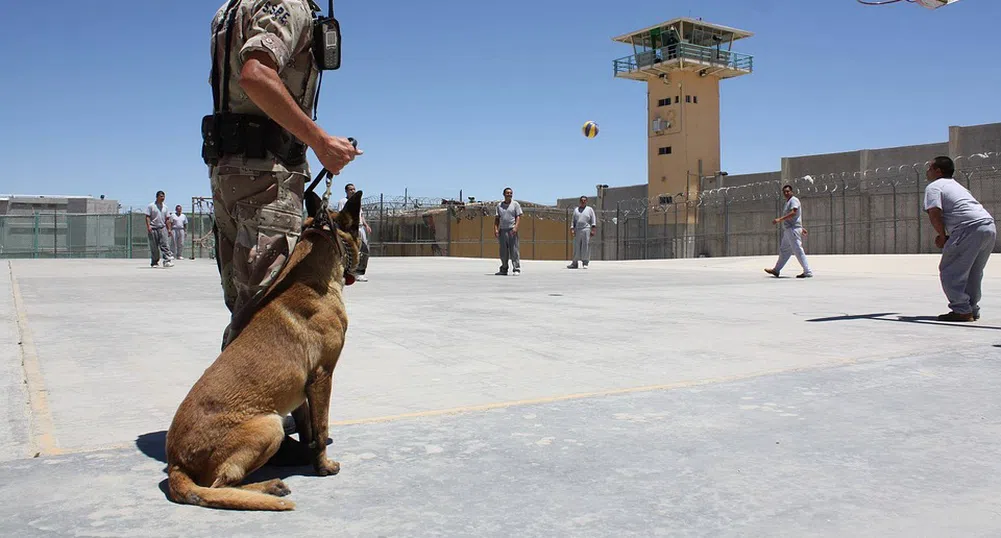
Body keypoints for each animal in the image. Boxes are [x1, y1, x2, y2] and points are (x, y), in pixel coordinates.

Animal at [166, 189, 366, 510]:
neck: (311, 277)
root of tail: (176, 464)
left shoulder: (304, 389)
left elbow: (308, 427)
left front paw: (309, 454)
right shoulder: (323, 377)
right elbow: (321, 429)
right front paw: (323, 466)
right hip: (269, 425)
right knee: (221, 483)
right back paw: (269, 487)